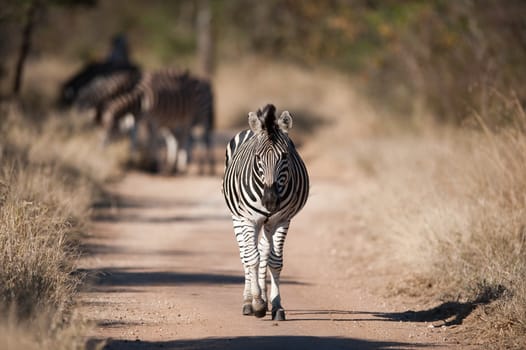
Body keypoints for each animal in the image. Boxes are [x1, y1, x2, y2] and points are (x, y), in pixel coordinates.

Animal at [222, 103, 310, 320]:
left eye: (284, 156)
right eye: (257, 158)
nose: (270, 201)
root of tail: (249, 130)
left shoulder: (282, 220)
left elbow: (274, 261)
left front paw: (276, 305)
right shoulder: (249, 219)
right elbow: (251, 258)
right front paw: (258, 304)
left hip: (268, 223)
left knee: (263, 250)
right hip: (238, 217)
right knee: (246, 253)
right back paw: (248, 302)